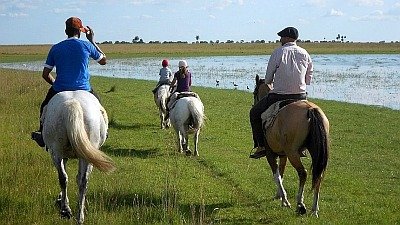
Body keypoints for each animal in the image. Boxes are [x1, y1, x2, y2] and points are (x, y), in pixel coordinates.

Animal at [41, 90, 115, 224]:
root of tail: (72, 104)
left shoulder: (64, 156)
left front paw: (61, 199)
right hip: (84, 156)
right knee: (81, 181)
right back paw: (79, 216)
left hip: (56, 151)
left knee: (64, 177)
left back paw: (66, 210)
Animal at [255, 74, 330, 217]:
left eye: (254, 92)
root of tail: (310, 109)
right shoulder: (283, 154)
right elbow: (282, 172)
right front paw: (279, 195)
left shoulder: (270, 154)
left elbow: (277, 175)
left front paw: (284, 200)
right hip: (314, 152)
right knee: (318, 176)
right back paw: (314, 210)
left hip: (292, 153)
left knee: (303, 173)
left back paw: (300, 204)